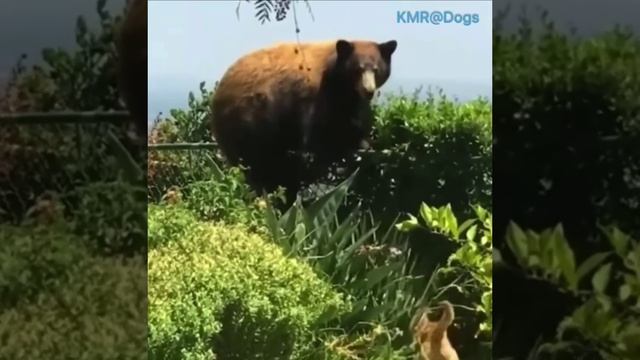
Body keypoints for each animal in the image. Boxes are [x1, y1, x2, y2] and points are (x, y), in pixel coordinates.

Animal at [210, 39, 398, 202]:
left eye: (376, 69)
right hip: (248, 122)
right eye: (358, 69)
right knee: (262, 166)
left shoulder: (345, 97)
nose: (369, 90)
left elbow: (349, 118)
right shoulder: (315, 94)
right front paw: (342, 146)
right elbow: (322, 130)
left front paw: (364, 141)